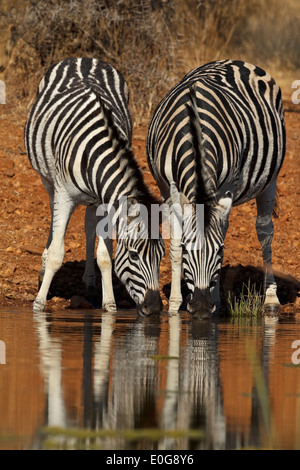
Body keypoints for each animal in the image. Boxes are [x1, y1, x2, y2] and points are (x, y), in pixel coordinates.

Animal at [24, 57, 164, 316]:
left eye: (161, 256)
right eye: (133, 255)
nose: (154, 309)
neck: (96, 153)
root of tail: (84, 58)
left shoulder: (106, 200)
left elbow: (105, 255)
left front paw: (109, 304)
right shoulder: (64, 195)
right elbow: (57, 253)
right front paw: (39, 303)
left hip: (93, 199)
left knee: (89, 226)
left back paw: (89, 283)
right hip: (48, 181)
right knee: (53, 217)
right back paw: (43, 267)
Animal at [147, 57, 286, 316]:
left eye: (220, 252)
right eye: (187, 250)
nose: (202, 308)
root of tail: (234, 60)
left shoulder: (223, 189)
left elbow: (221, 233)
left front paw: (214, 302)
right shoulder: (167, 191)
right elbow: (174, 244)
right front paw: (174, 304)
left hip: (269, 180)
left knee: (265, 233)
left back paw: (271, 299)